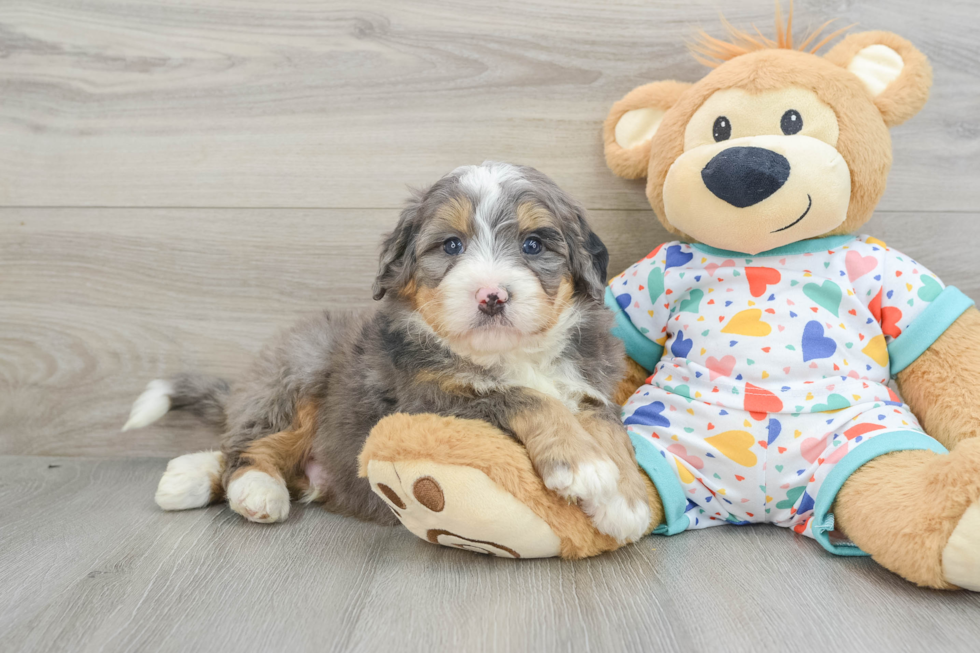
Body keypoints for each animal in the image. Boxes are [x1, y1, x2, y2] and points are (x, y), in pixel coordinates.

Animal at [126, 162, 656, 540]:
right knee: (249, 447)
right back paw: (254, 491)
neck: (512, 355)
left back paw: (186, 477)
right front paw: (583, 465)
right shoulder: (431, 398)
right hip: (301, 368)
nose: (492, 295)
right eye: (451, 245)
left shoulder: (588, 386)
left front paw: (626, 502)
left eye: (532, 245)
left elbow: (612, 430)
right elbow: (526, 398)